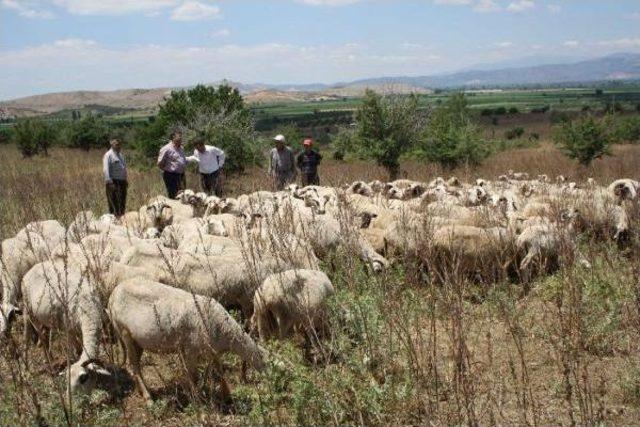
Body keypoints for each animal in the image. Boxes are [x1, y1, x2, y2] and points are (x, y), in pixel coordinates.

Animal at [109, 280, 264, 402]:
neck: (225, 330)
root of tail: (113, 295)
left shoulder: (211, 350)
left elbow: (219, 370)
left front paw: (226, 396)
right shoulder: (190, 349)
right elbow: (193, 376)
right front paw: (198, 398)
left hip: (138, 341)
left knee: (136, 366)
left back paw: (141, 391)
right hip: (124, 332)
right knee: (134, 366)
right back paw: (148, 398)